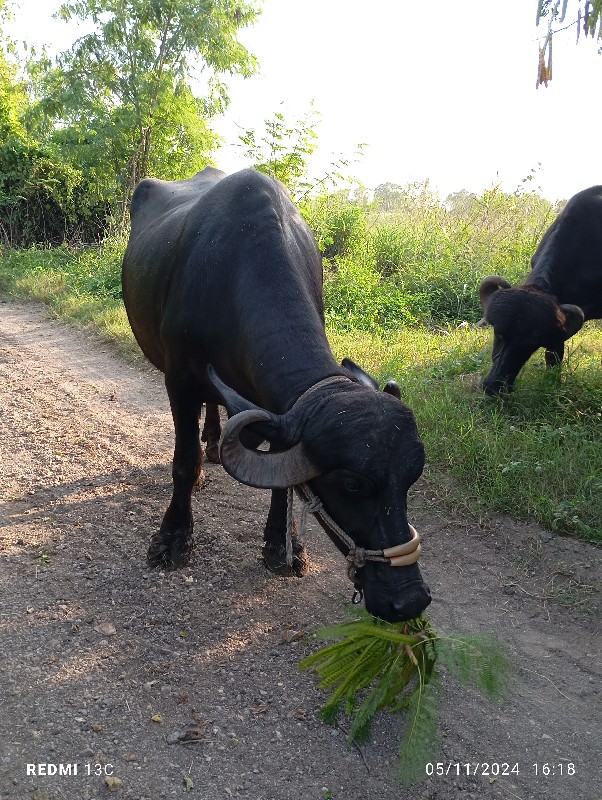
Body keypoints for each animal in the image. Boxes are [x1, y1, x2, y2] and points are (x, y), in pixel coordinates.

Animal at [122, 166, 428, 620]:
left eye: (412, 477)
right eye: (352, 485)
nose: (409, 599)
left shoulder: (276, 407)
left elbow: (282, 479)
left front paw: (283, 545)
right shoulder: (178, 380)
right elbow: (183, 461)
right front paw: (173, 538)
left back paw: (214, 440)